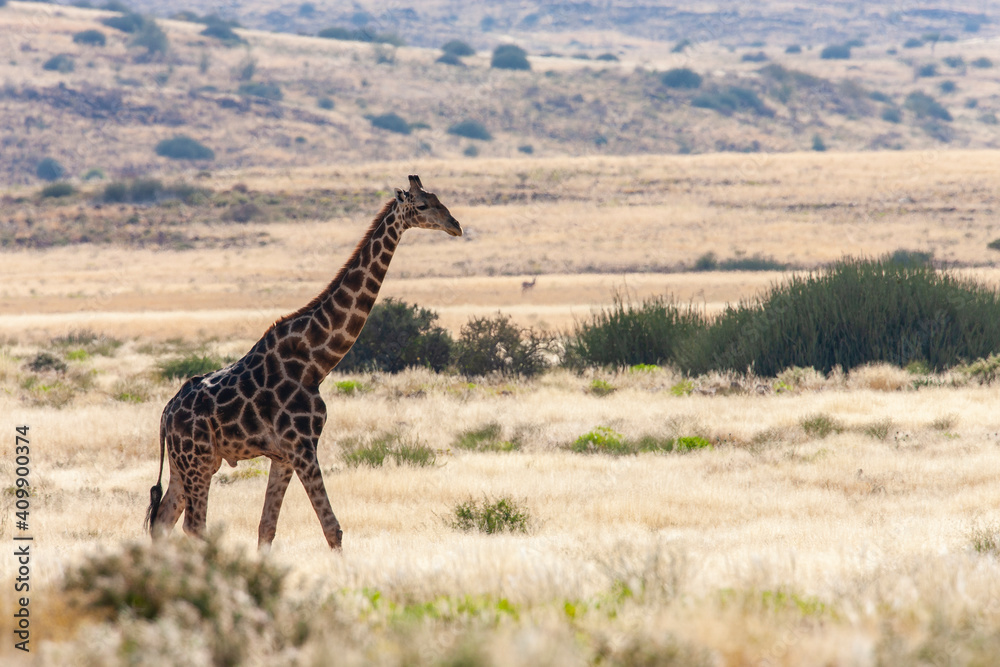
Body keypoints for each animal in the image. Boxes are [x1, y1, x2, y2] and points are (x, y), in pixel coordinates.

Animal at [144, 175, 462, 550]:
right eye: (424, 205)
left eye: (440, 199)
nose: (455, 226)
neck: (315, 362)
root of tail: (166, 413)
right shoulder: (303, 446)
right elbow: (332, 528)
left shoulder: (283, 455)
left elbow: (267, 527)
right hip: (199, 459)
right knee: (194, 526)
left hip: (186, 463)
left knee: (162, 520)